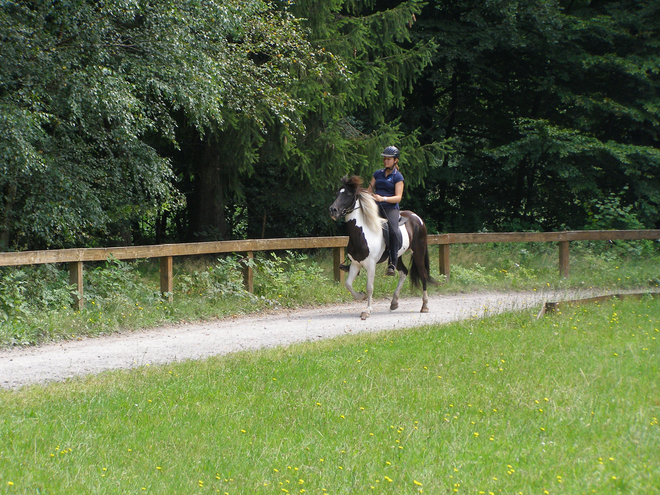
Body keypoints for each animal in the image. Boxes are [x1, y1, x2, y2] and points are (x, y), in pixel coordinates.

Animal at [328, 176, 436, 320]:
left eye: (349, 195)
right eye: (337, 194)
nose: (333, 210)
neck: (363, 232)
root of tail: (417, 218)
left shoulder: (370, 264)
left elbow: (369, 287)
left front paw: (367, 310)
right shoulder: (356, 264)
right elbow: (348, 284)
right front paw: (361, 296)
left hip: (418, 251)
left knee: (423, 274)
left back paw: (424, 306)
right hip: (396, 257)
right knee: (404, 272)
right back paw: (394, 302)